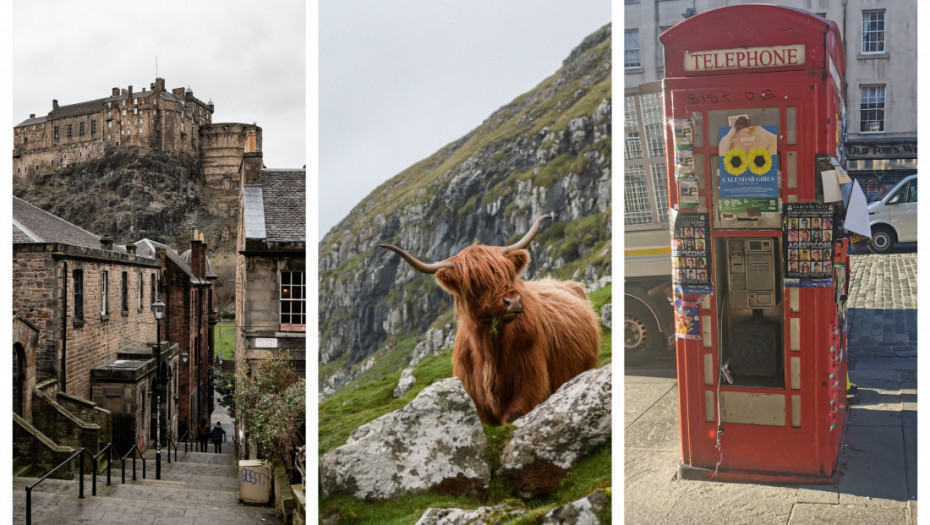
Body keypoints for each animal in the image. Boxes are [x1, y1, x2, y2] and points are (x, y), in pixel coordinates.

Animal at [380, 215, 600, 424]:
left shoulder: (531, 386)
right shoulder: (477, 402)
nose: (513, 302)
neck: (489, 353)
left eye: (508, 273)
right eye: (474, 282)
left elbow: (513, 416)